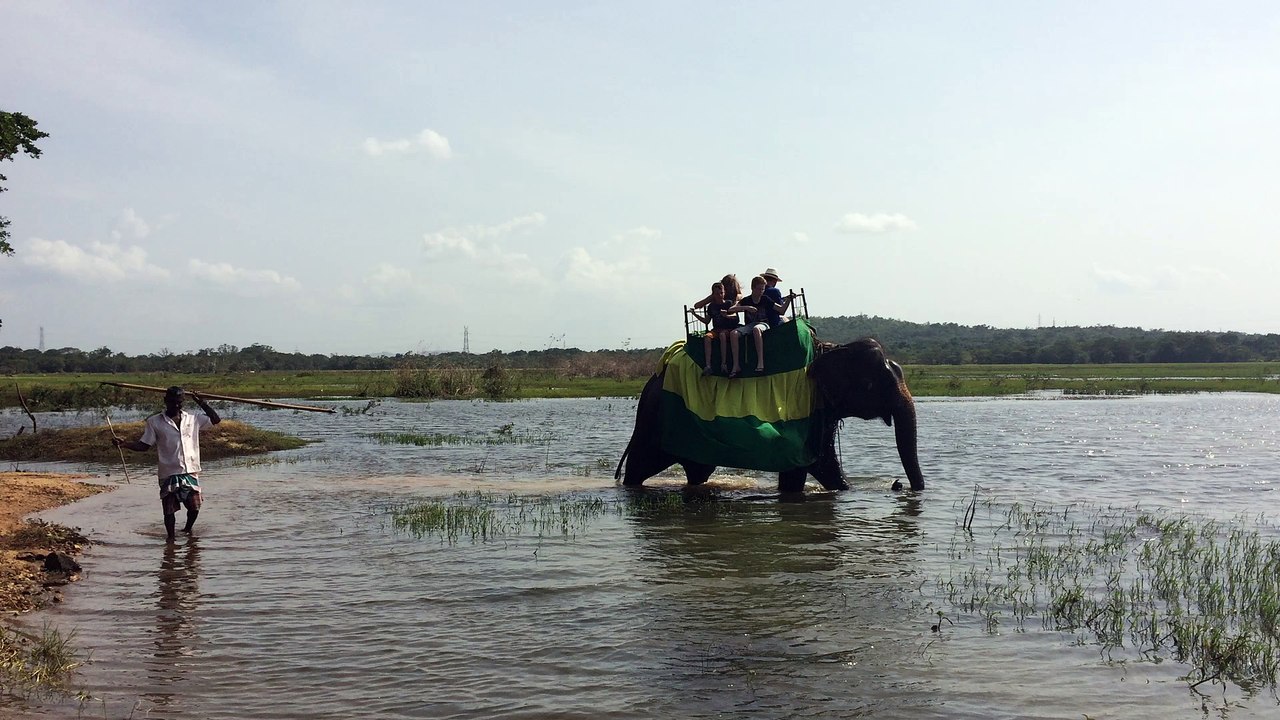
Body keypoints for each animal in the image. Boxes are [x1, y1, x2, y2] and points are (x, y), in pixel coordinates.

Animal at [615, 336, 924, 494]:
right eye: (874, 385)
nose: (898, 484)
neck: (832, 348)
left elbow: (821, 460)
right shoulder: (803, 408)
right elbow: (812, 462)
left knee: (697, 472)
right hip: (655, 421)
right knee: (640, 466)